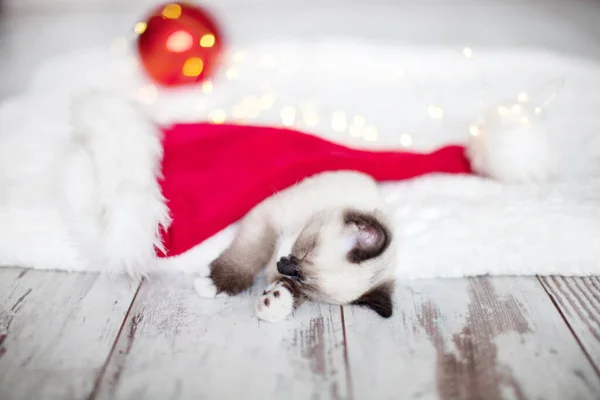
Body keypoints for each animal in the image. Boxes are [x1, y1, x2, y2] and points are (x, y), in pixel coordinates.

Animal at [195, 170, 396, 320]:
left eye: (304, 284)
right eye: (306, 250)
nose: (282, 266)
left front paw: (275, 302)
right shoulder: (267, 215)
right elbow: (251, 253)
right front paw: (216, 282)